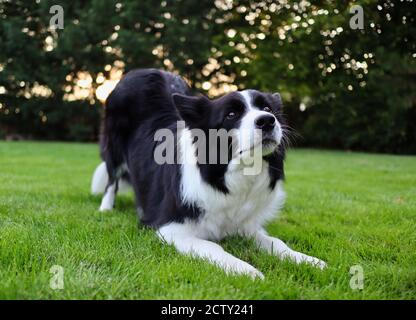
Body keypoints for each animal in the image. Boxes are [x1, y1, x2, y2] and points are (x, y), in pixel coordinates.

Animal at [90, 69, 324, 278]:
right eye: (231, 114)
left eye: (267, 108)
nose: (267, 120)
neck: (234, 174)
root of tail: (139, 71)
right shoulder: (169, 227)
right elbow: (213, 247)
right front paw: (246, 270)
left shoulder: (245, 226)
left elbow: (276, 242)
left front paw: (306, 259)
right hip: (114, 146)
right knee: (112, 179)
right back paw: (106, 208)